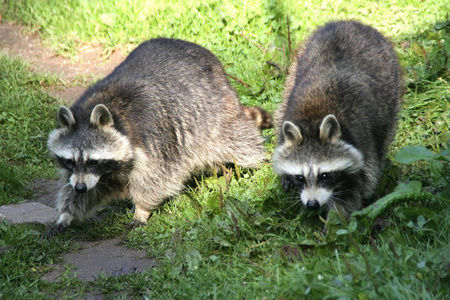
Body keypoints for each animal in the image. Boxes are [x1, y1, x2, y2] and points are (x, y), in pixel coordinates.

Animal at [44, 37, 272, 238]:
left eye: (93, 161)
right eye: (70, 161)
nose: (80, 188)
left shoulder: (155, 139)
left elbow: (156, 178)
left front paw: (142, 209)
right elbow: (80, 187)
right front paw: (67, 213)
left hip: (215, 110)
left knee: (235, 141)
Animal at [272, 20, 402, 218]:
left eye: (324, 175)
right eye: (300, 177)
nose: (312, 205)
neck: (313, 119)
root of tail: (350, 22)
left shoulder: (363, 143)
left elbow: (359, 185)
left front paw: (338, 217)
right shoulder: (290, 116)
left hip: (391, 80)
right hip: (296, 66)